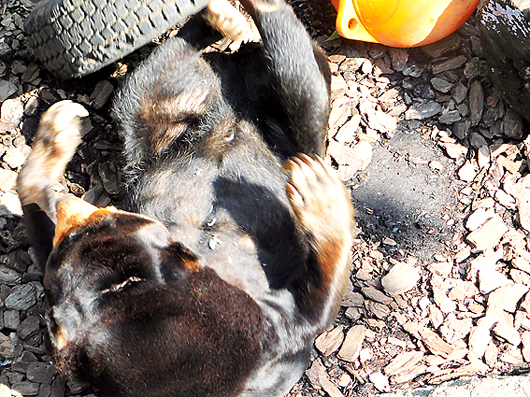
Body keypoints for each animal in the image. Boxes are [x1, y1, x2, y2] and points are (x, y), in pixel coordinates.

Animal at [17, 0, 354, 394]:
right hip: (294, 116)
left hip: (150, 108)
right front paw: (320, 193)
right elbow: (326, 287)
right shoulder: (290, 324)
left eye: (110, 217)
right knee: (297, 76)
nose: (70, 207)